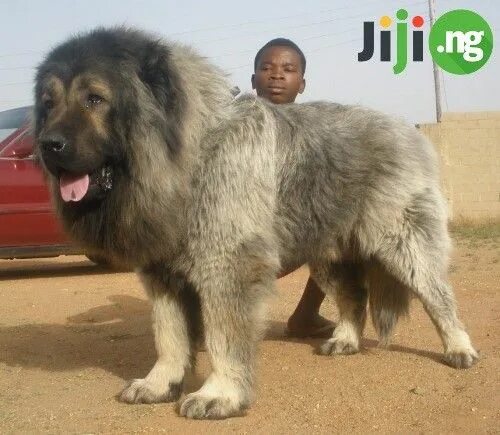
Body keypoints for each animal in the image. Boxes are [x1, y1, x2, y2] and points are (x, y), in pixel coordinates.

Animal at [33, 26, 478, 418]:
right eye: (48, 102)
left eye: (95, 99)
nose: (47, 144)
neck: (189, 155)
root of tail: (405, 128)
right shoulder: (161, 272)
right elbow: (169, 336)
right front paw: (160, 384)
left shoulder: (227, 265)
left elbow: (223, 335)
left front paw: (220, 394)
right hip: (327, 252)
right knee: (354, 295)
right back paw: (345, 339)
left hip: (402, 243)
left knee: (439, 296)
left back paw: (459, 348)